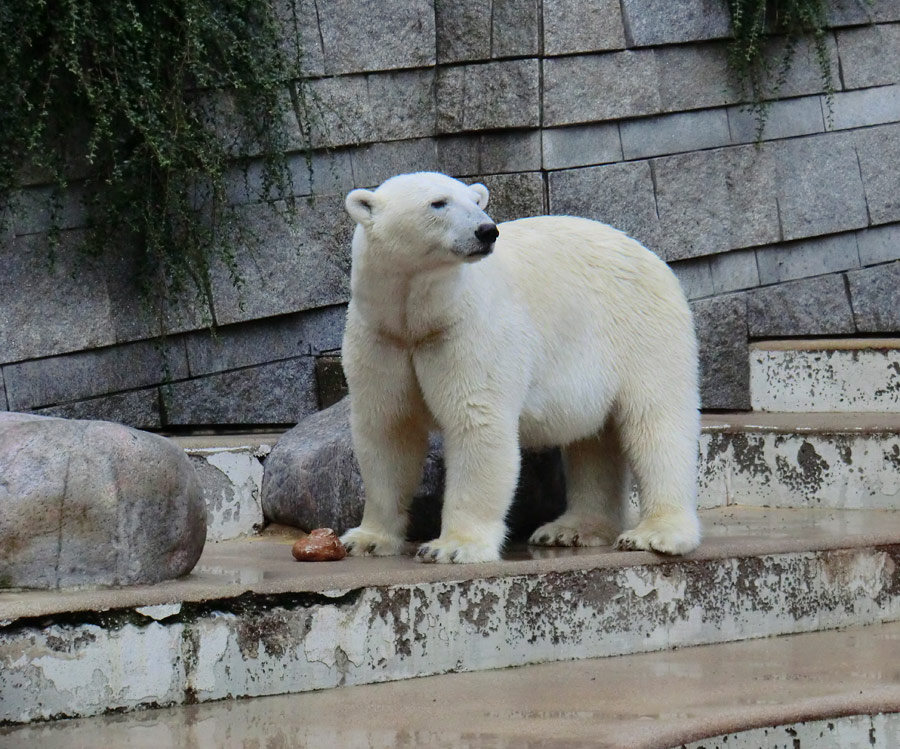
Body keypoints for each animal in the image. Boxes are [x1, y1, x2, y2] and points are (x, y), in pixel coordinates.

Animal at [338, 172, 704, 564]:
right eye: (438, 202)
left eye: (475, 201)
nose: (487, 230)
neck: (419, 319)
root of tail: (654, 258)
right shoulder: (381, 340)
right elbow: (387, 433)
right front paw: (365, 539)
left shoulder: (470, 332)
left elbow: (477, 423)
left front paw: (452, 547)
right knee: (593, 440)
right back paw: (571, 529)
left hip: (641, 330)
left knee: (657, 424)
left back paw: (656, 534)